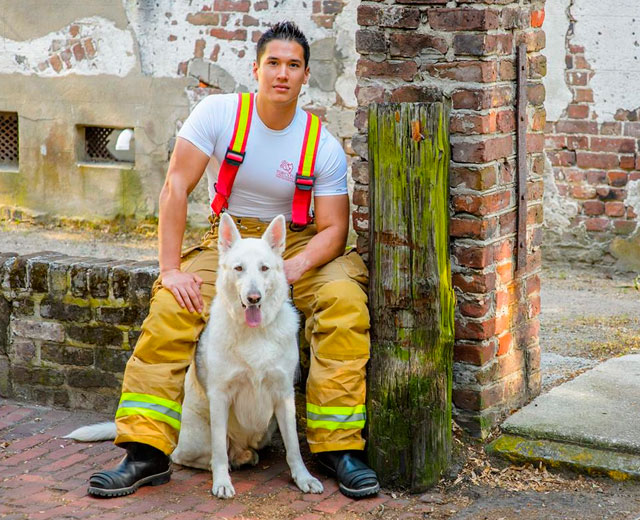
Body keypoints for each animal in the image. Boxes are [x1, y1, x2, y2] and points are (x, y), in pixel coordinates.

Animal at [67, 214, 322, 500]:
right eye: (239, 268)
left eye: (264, 268)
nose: (253, 298)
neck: (254, 332)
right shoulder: (220, 397)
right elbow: (219, 451)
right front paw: (221, 482)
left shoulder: (283, 396)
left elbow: (294, 447)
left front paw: (303, 478)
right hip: (199, 433)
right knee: (190, 455)